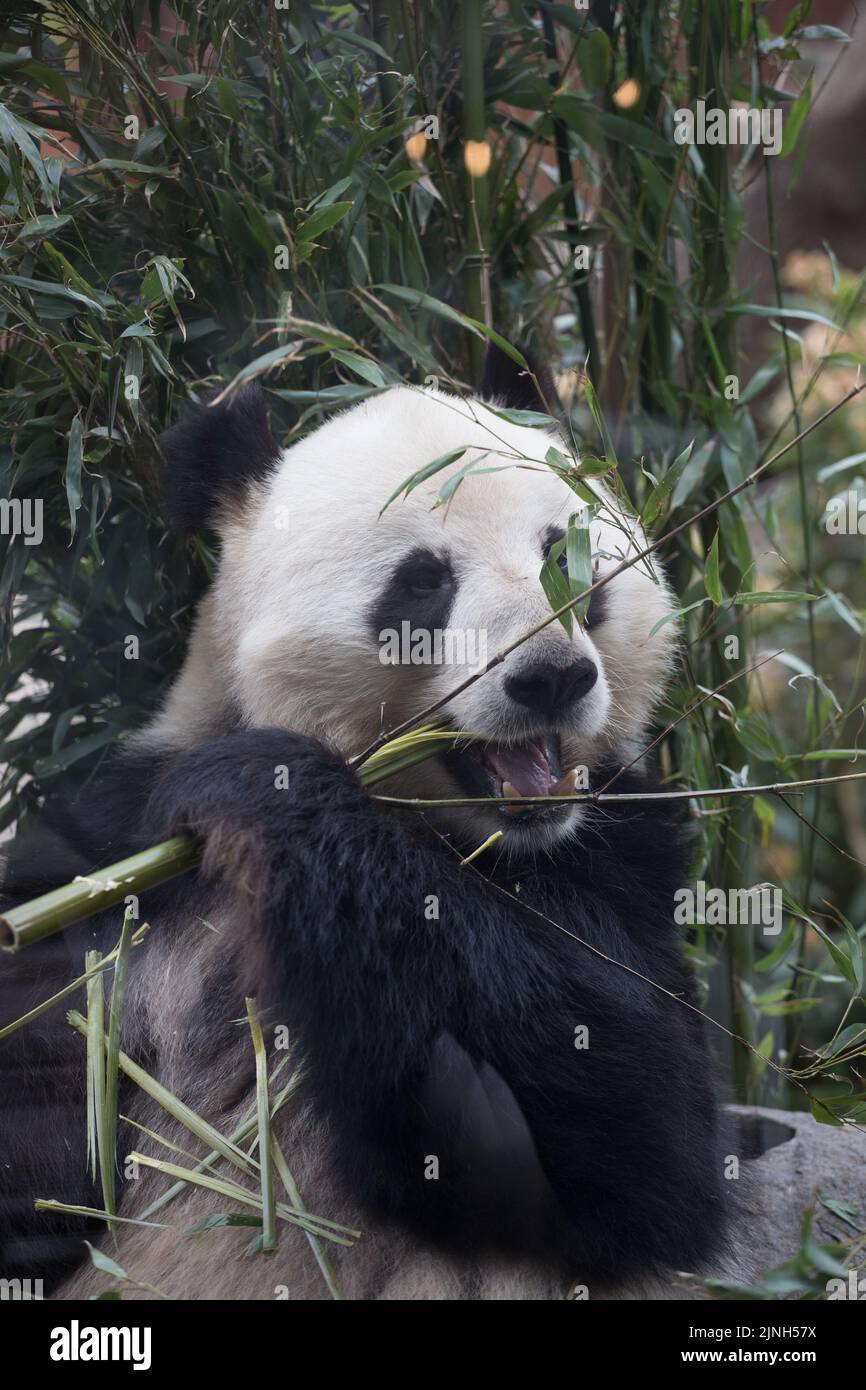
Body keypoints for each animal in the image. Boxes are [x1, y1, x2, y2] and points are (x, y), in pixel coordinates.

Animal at [0, 350, 733, 1301]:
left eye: (563, 556)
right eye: (423, 581)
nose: (550, 677)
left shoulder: (621, 849)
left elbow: (649, 1132)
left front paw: (269, 788)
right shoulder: (117, 863)